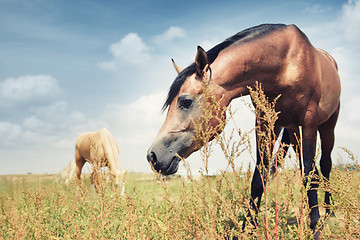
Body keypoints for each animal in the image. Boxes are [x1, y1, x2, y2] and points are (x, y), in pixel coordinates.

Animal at [146, 23, 340, 236]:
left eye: (185, 101)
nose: (152, 156)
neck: (286, 65)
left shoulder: (308, 124)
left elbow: (309, 175)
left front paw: (315, 228)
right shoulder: (265, 123)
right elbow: (260, 176)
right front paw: (249, 228)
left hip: (327, 127)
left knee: (324, 165)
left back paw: (328, 211)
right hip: (293, 132)